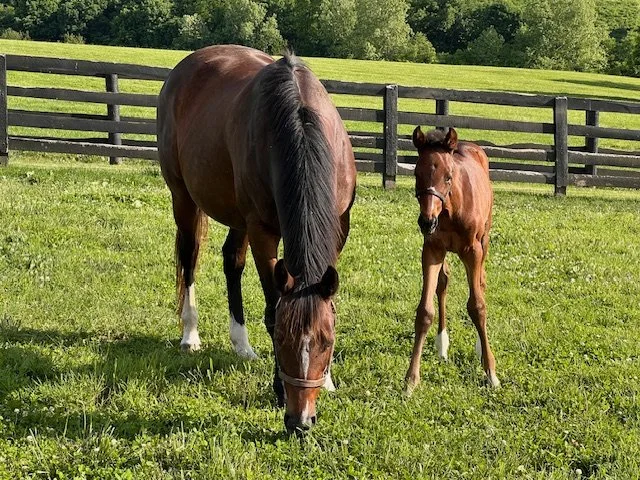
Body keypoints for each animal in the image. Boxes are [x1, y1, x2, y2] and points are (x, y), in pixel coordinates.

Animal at [156, 45, 356, 432]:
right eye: (281, 341)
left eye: (326, 341)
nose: (300, 421)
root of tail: (186, 65)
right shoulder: (263, 232)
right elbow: (272, 308)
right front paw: (278, 390)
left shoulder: (339, 228)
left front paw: (327, 379)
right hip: (184, 198)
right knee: (189, 258)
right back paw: (190, 334)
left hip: (238, 217)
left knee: (231, 260)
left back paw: (241, 344)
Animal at [404, 126, 499, 393]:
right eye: (416, 174)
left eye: (448, 176)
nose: (426, 222)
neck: (450, 210)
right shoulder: (432, 249)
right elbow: (424, 311)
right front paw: (411, 380)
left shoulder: (472, 251)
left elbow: (477, 306)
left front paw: (491, 373)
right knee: (443, 283)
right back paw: (442, 345)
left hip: (485, 240)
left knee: (482, 282)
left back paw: (479, 349)